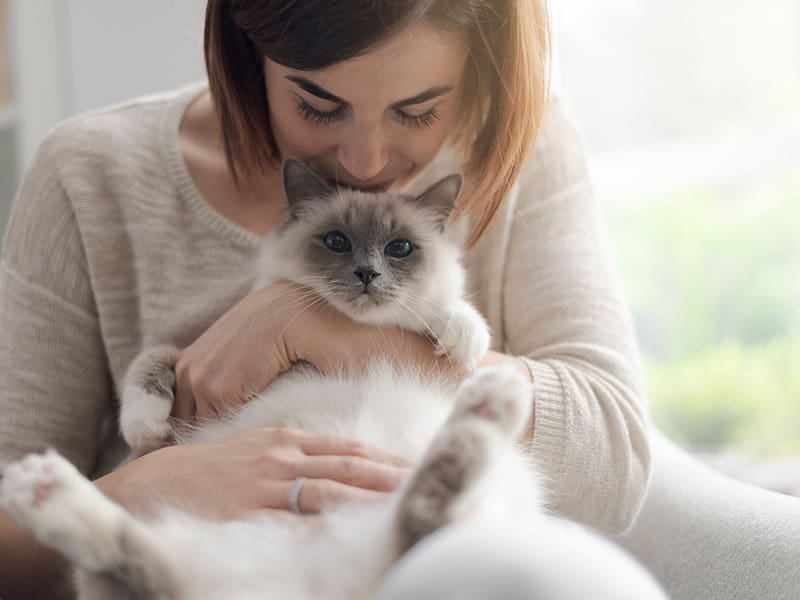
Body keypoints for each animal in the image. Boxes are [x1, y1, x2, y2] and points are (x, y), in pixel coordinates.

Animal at [0, 159, 548, 600]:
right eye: (336, 242)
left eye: (400, 249)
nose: (367, 274)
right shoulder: (189, 355)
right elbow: (152, 362)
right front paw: (146, 422)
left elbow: (453, 313)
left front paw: (462, 336)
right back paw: (43, 491)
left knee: (424, 518)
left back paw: (493, 400)